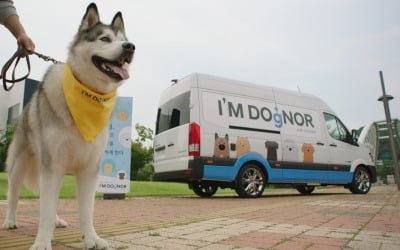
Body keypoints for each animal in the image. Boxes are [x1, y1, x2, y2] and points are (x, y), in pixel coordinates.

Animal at [1, 2, 134, 249]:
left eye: (124, 39)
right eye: (105, 39)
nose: (130, 47)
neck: (87, 94)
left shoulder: (88, 169)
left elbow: (85, 211)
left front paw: (91, 238)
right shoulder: (52, 165)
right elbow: (44, 210)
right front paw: (43, 241)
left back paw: (56, 220)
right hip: (20, 165)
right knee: (14, 195)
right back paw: (10, 221)